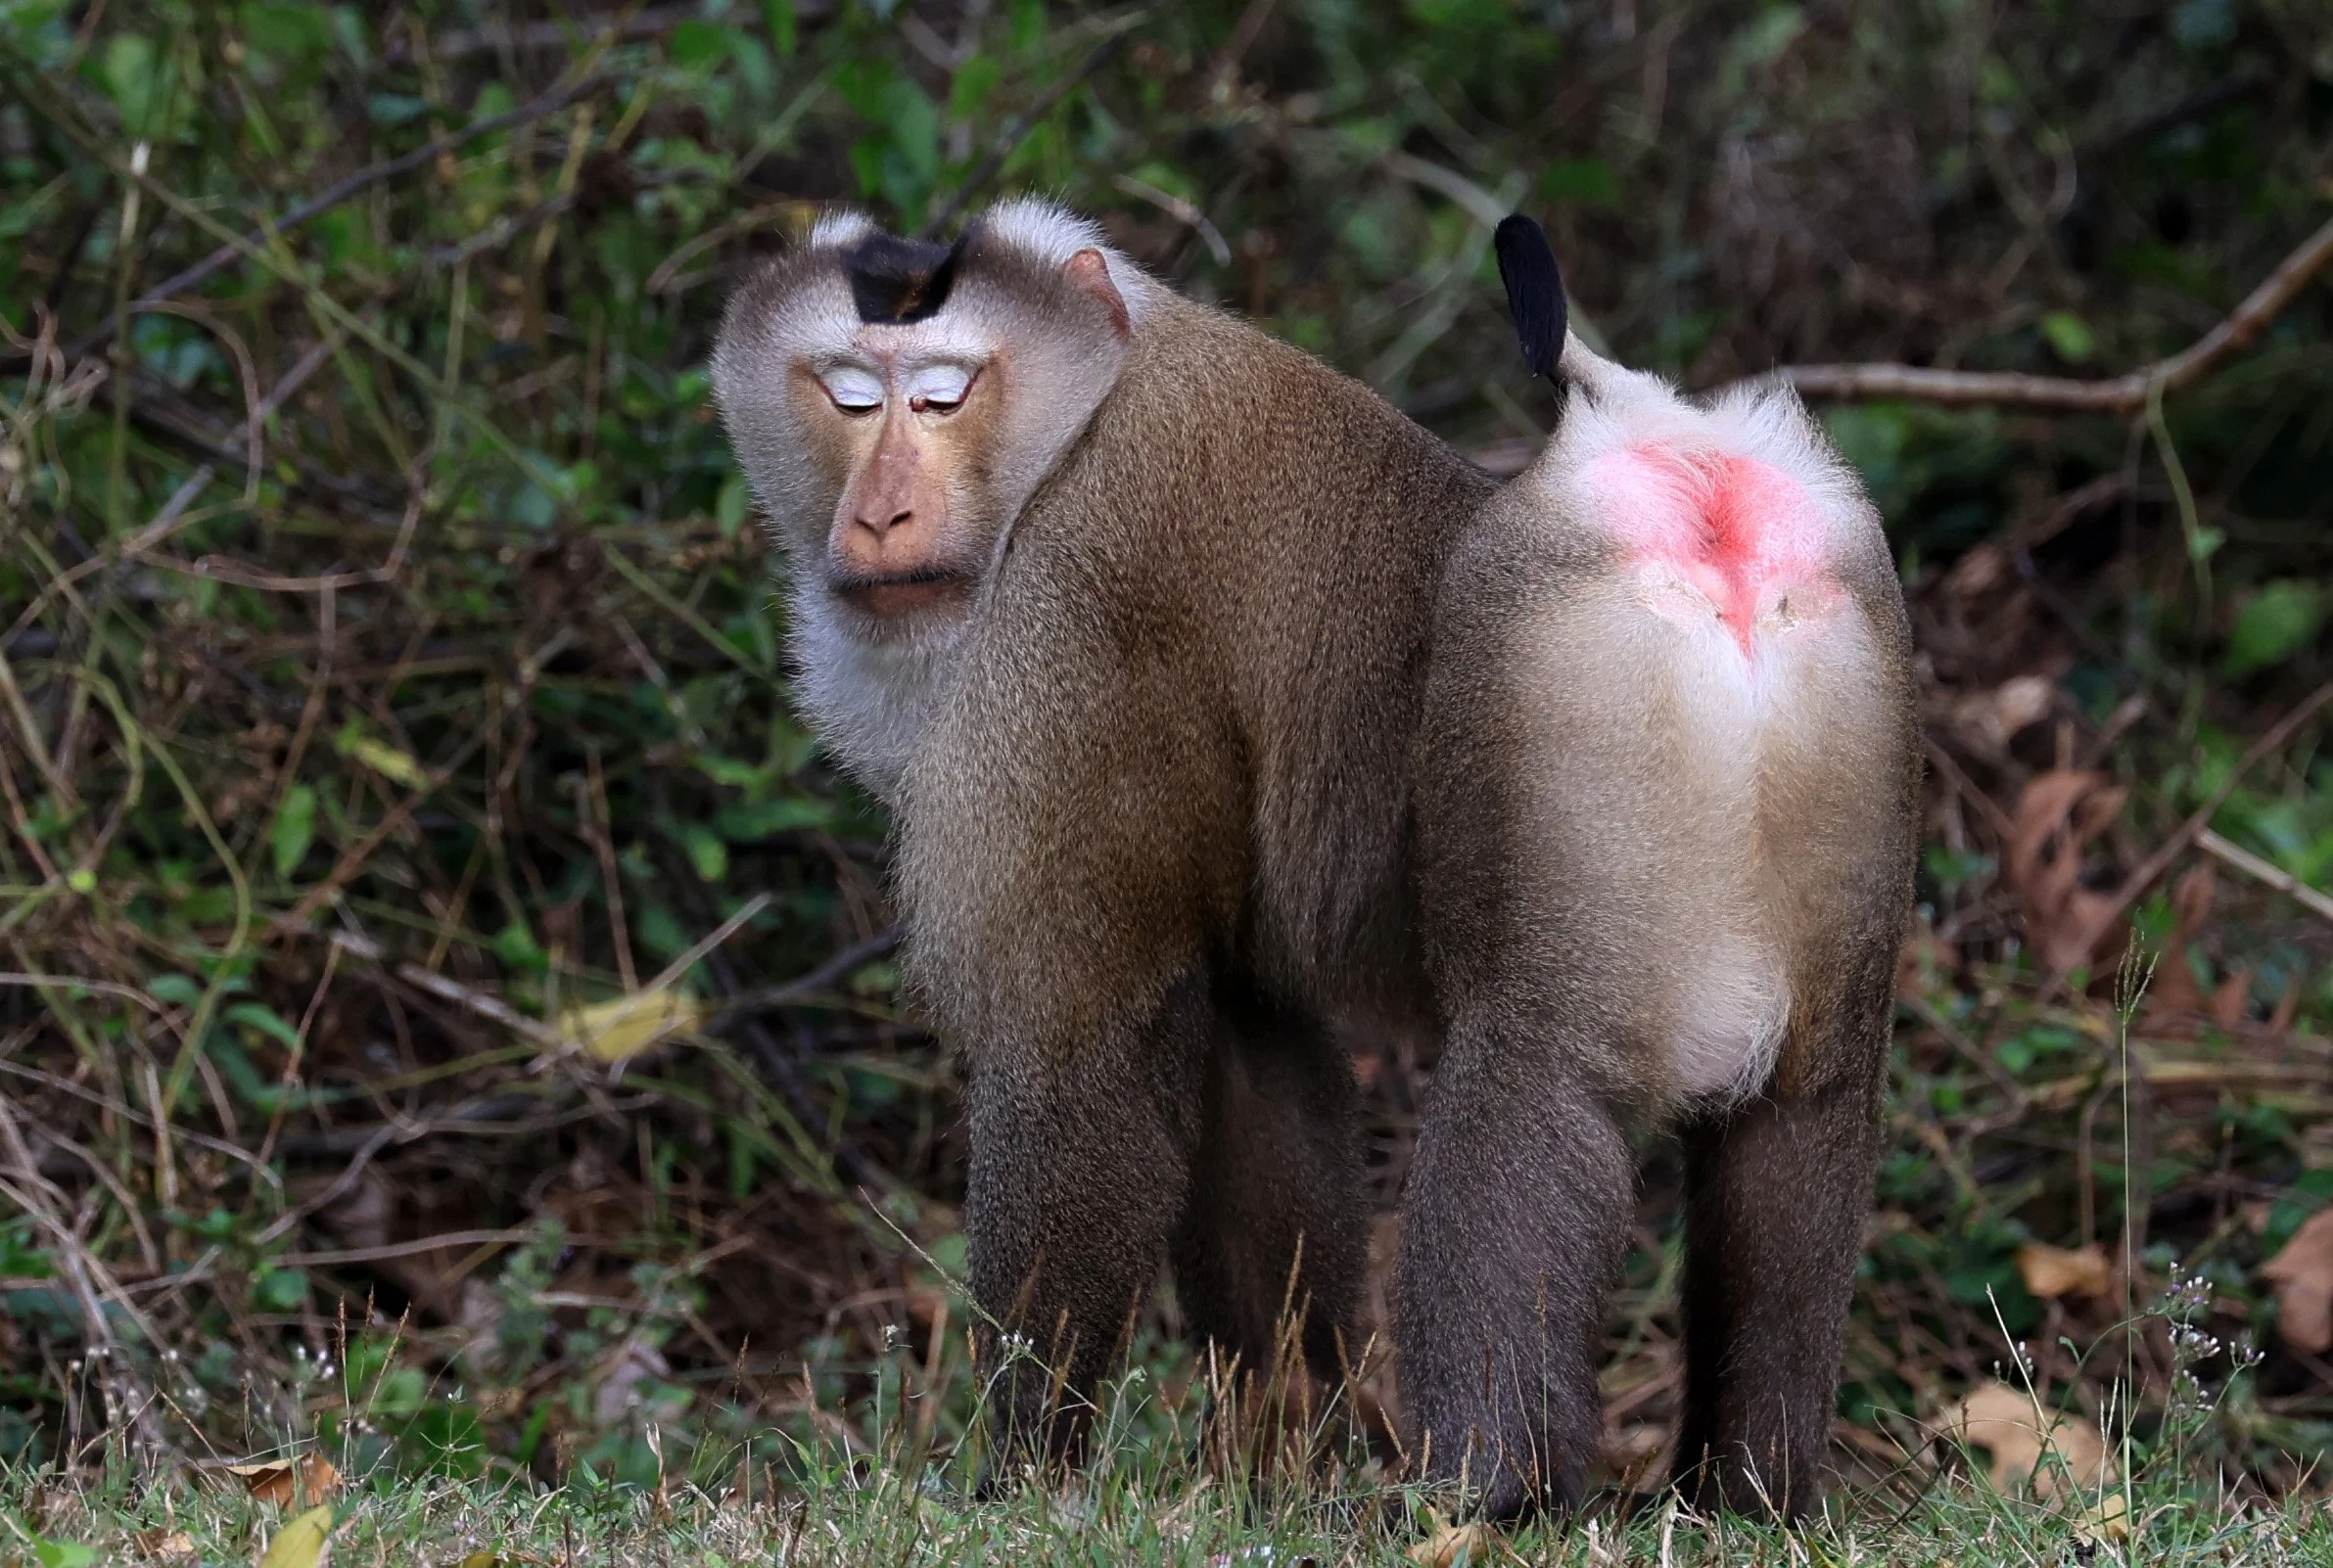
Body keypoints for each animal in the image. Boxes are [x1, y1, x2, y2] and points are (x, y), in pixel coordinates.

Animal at [710, 199, 1495, 1470]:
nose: (881, 513)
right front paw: (1290, 1438)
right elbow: (1243, 1030)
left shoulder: (1075, 639)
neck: (1070, 432)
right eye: (849, 398)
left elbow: (1078, 1050)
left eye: (941, 397)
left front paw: (1024, 1467)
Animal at [1392, 215, 1920, 1521]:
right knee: (1799, 1152)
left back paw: (1479, 1493)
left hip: (1554, 972)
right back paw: (1753, 1488)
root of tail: (1643, 422)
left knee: (1526, 1114)